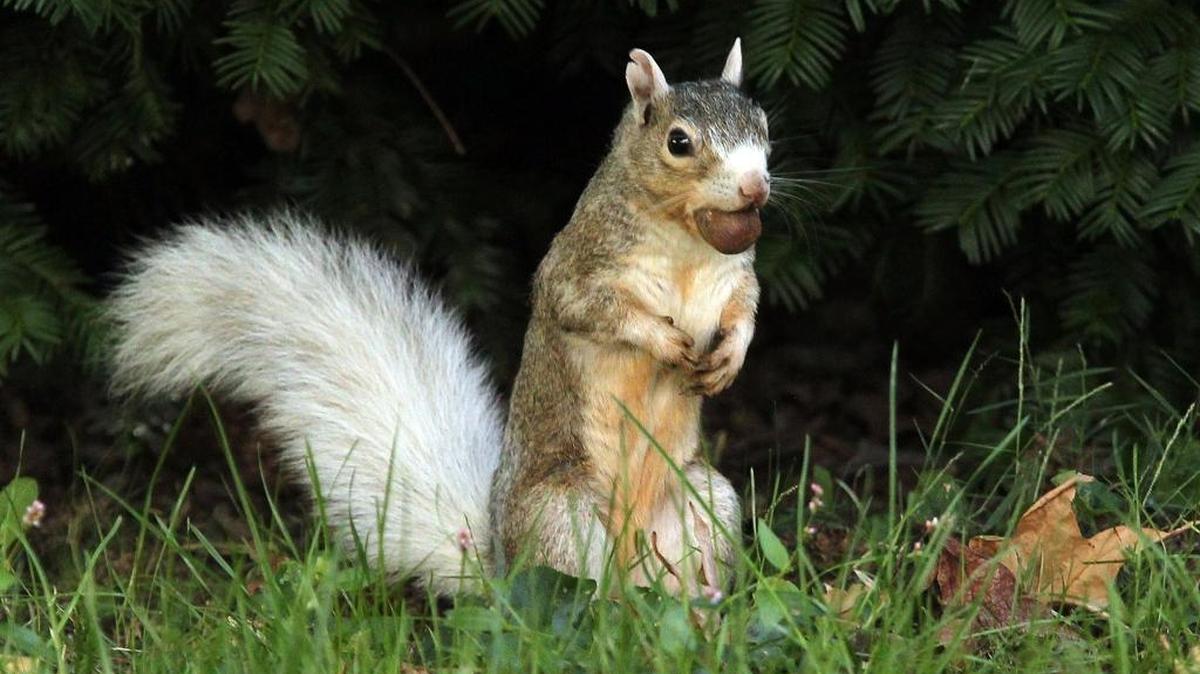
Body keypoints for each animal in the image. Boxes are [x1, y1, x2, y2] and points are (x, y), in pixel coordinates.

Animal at [108, 40, 770, 599]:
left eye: (764, 127)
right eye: (678, 142)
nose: (755, 188)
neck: (688, 242)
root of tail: (501, 564)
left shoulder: (736, 277)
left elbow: (744, 310)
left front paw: (731, 357)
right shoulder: (579, 268)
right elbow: (593, 312)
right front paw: (662, 339)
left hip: (705, 502)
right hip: (562, 517)